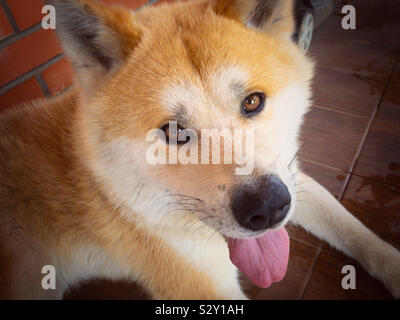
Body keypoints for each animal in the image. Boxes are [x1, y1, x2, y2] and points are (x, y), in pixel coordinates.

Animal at [0, 0, 400, 300]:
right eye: (174, 131)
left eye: (252, 101)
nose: (268, 208)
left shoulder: (290, 178)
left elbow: (351, 227)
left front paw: (393, 266)